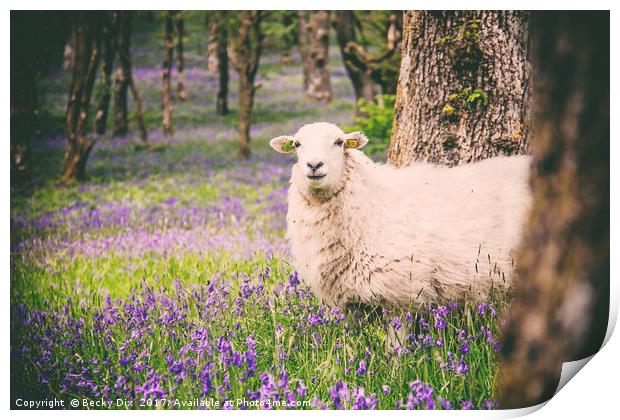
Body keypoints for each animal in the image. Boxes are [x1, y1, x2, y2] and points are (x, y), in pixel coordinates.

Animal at [268, 121, 532, 312]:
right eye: (297, 144)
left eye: (339, 142)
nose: (314, 165)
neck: (372, 206)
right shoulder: (349, 302)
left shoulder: (400, 292)